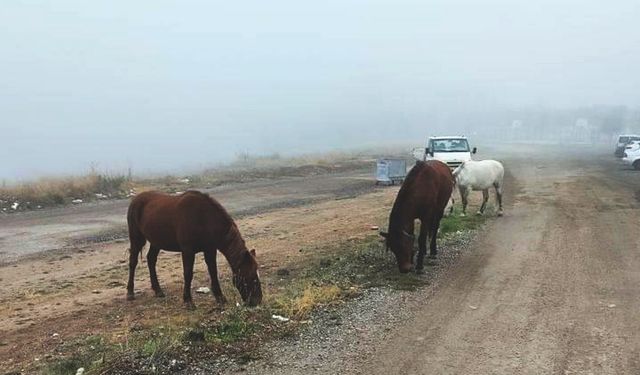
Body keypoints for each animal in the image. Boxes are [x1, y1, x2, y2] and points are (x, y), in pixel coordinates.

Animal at [126, 191, 262, 308]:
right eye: (250, 277)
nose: (257, 301)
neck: (204, 218)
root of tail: (136, 199)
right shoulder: (188, 251)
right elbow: (188, 274)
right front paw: (188, 301)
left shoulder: (210, 250)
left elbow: (213, 272)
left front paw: (220, 297)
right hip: (136, 238)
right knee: (133, 262)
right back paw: (130, 293)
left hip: (156, 241)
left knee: (151, 260)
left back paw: (158, 290)